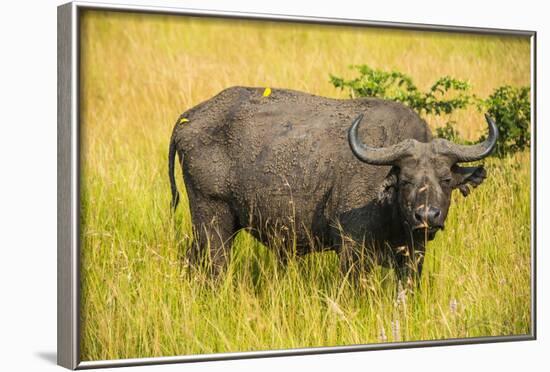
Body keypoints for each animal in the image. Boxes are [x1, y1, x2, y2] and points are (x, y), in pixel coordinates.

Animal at [169, 86, 500, 284]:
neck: (390, 209)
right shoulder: (352, 250)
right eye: (405, 180)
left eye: (446, 180)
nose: (427, 216)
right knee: (214, 266)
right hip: (213, 222)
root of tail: (188, 118)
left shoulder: (413, 253)